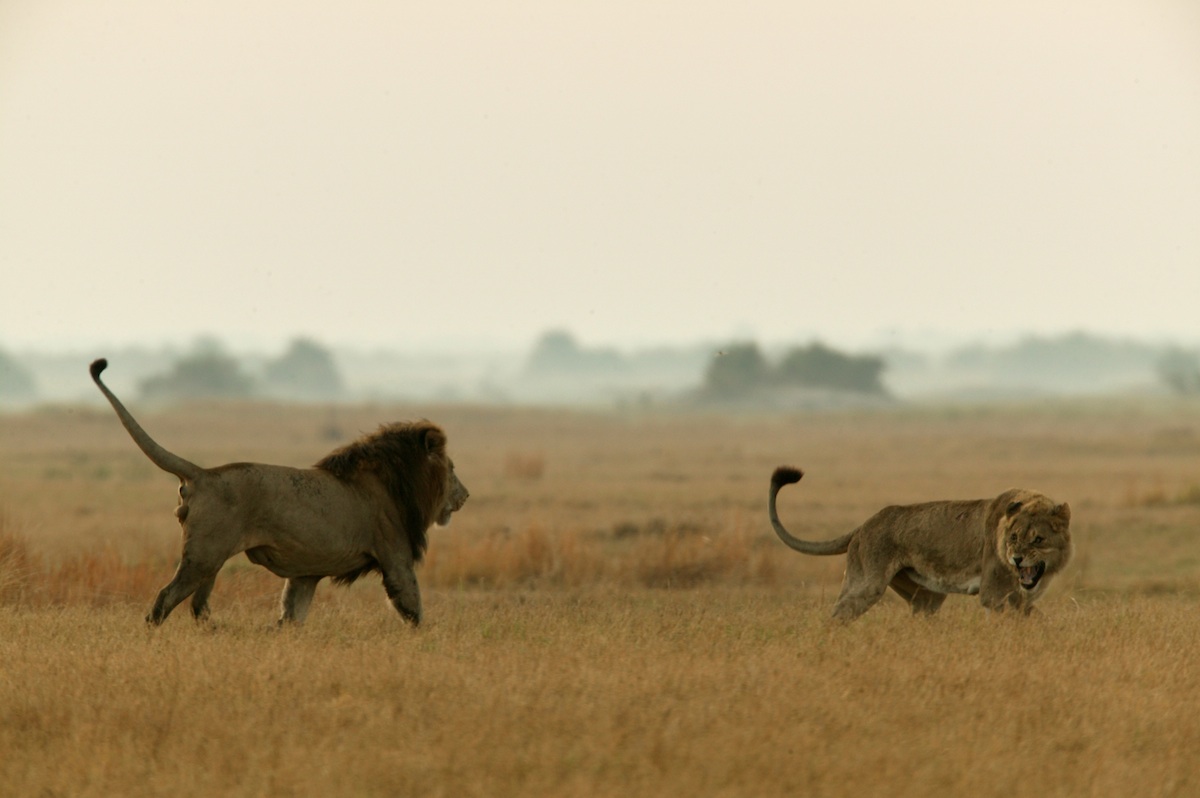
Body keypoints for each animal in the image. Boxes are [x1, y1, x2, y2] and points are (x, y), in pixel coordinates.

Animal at [84, 357, 465, 624]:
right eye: (452, 469)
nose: (466, 495)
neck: (398, 480)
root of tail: (203, 473)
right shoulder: (395, 554)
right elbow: (413, 609)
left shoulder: (306, 573)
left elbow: (292, 614)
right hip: (204, 555)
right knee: (165, 599)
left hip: (210, 559)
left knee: (197, 605)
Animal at [772, 463, 1075, 619]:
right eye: (1013, 537)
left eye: (1037, 540)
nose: (1017, 558)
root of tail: (864, 524)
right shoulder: (994, 594)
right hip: (866, 584)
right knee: (837, 614)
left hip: (927, 597)